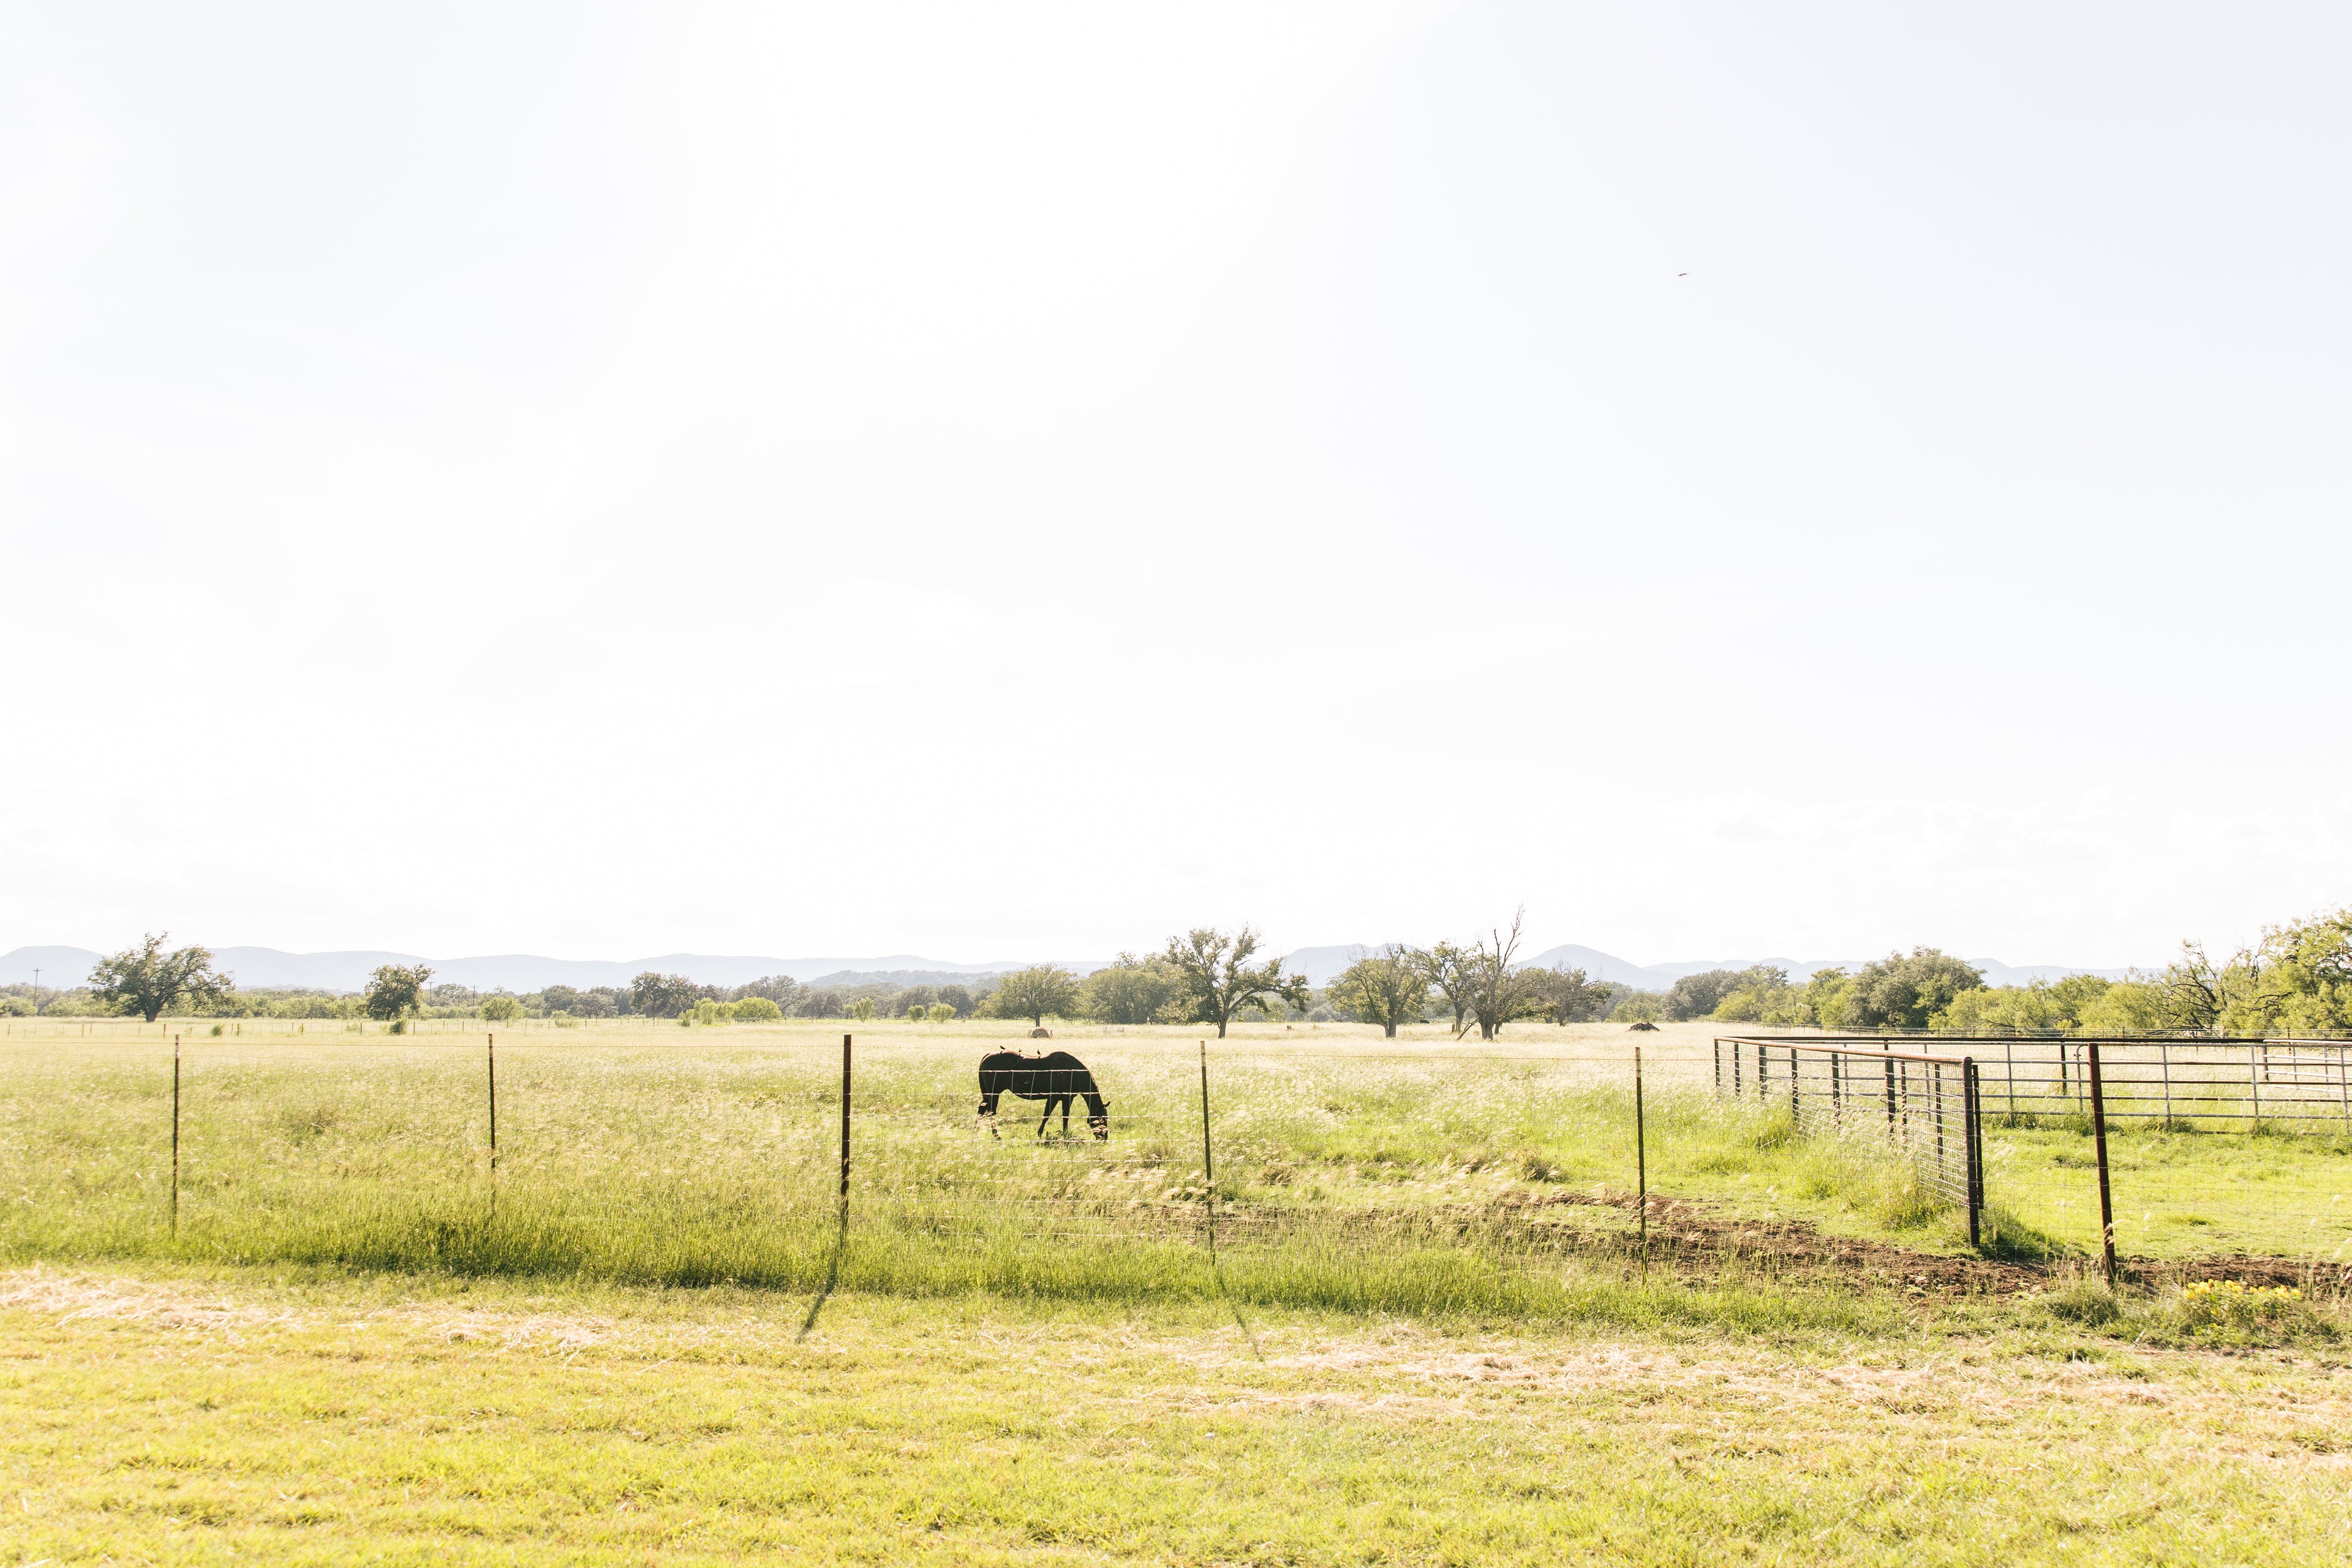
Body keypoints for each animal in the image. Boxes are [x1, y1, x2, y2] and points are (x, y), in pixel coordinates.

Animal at [977, 1049, 1110, 1140]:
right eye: (1100, 1120)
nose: (1104, 1138)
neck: (1071, 1072)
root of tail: (987, 1056)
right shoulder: (1053, 1098)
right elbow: (1046, 1116)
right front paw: (1040, 1133)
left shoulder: (1067, 1099)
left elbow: (1065, 1117)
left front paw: (1065, 1134)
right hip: (994, 1094)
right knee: (991, 1113)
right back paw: (997, 1136)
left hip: (988, 1095)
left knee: (981, 1110)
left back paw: (976, 1130)